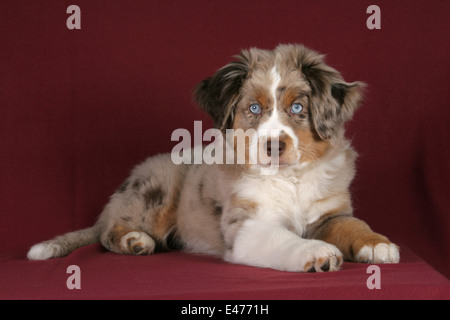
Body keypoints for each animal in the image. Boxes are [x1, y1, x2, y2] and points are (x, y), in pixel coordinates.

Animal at [28, 43, 400, 272]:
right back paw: (134, 240)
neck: (287, 178)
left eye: (297, 108)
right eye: (254, 109)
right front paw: (316, 252)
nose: (273, 146)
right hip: (158, 185)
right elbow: (283, 237)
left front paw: (377, 244)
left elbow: (353, 224)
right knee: (108, 232)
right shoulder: (246, 226)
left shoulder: (329, 214)